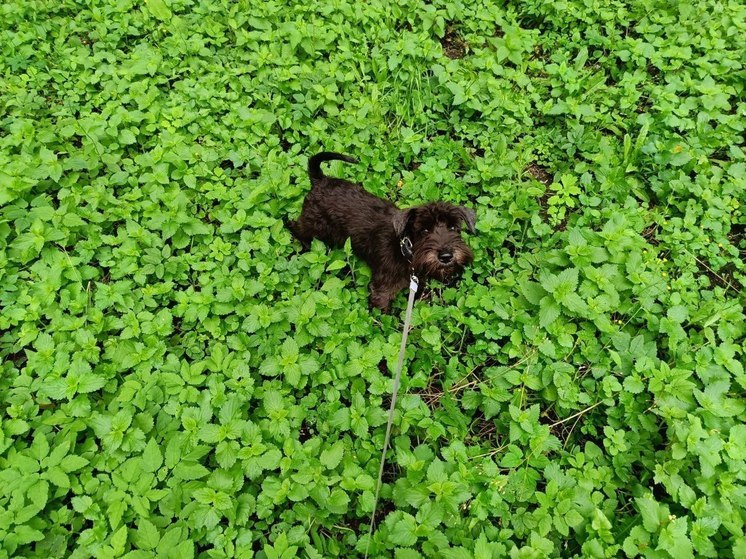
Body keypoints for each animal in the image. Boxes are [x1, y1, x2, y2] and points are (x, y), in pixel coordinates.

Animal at [286, 152, 476, 310]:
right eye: (424, 230)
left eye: (453, 227)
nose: (446, 256)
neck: (404, 251)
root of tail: (320, 179)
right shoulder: (382, 290)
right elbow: (382, 311)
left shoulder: (418, 280)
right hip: (312, 226)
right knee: (295, 227)